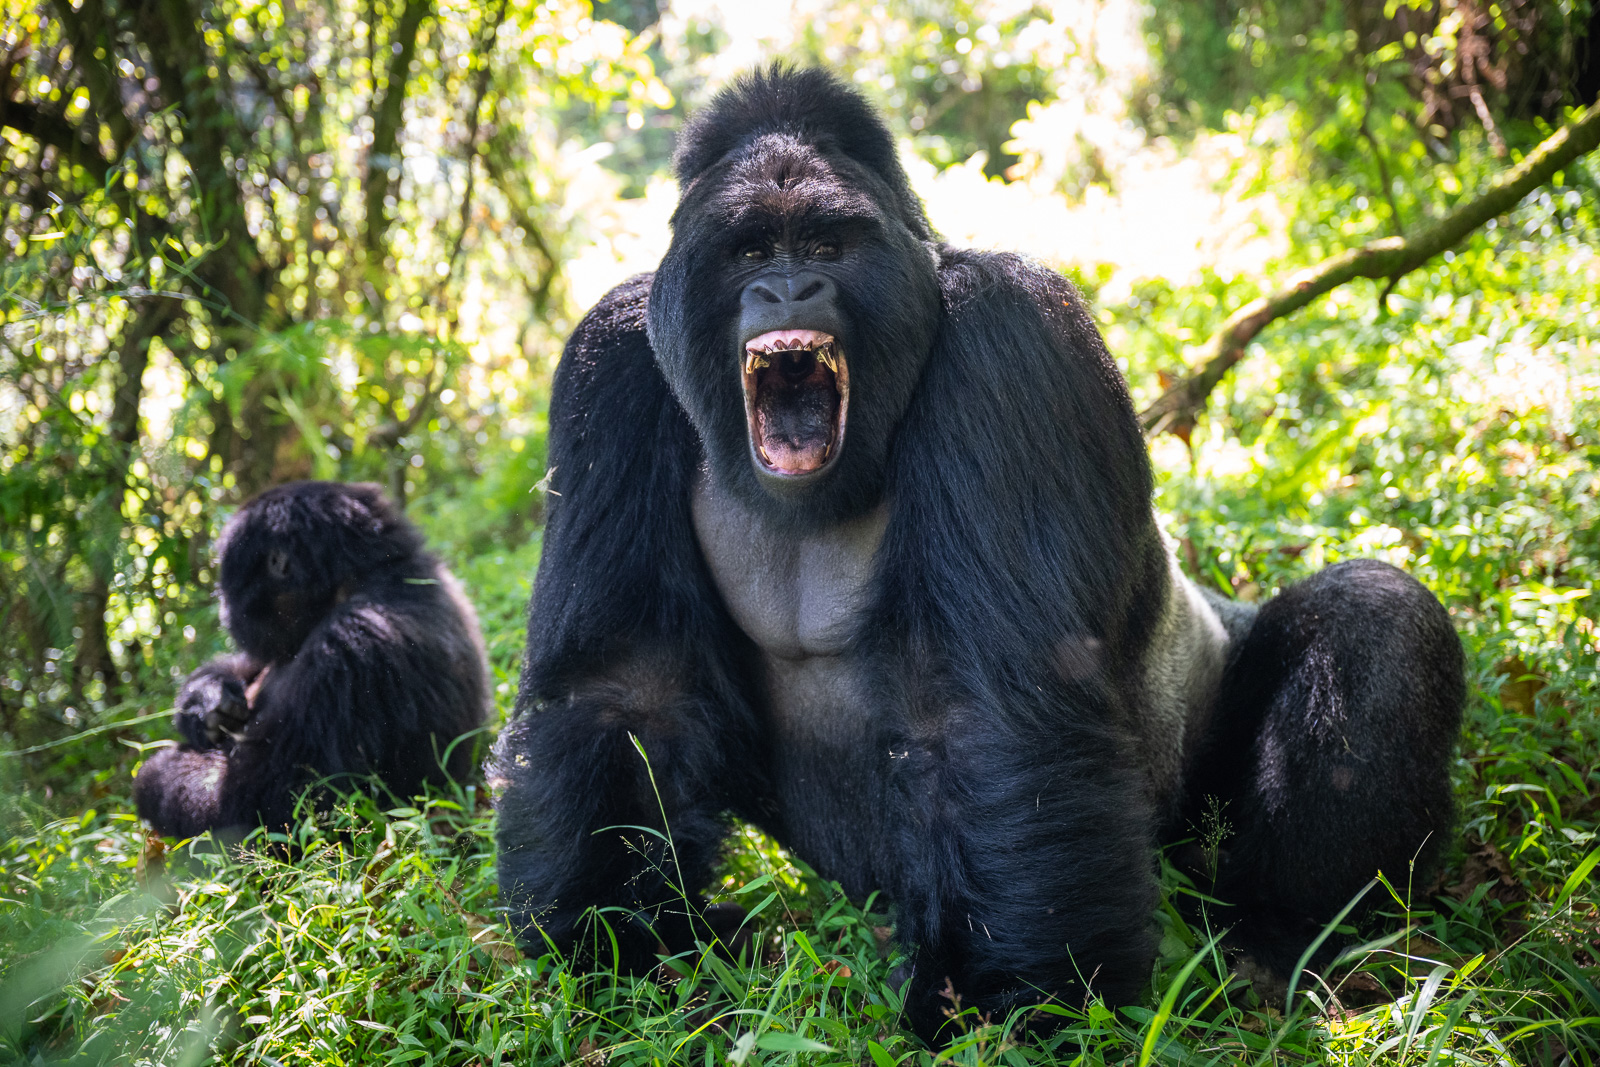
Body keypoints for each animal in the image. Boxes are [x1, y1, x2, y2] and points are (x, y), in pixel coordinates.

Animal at [135, 479, 489, 838]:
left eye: (227, 590)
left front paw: (153, 776)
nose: (224, 613)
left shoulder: (349, 642)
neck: (379, 575)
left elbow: (272, 806)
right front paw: (206, 698)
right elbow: (253, 663)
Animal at [492, 68, 1465, 1043]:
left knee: (1374, 616)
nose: (790, 289)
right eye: (749, 251)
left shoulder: (1014, 329)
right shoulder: (611, 355)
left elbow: (1000, 705)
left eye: (828, 244)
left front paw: (1013, 1001)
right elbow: (624, 687)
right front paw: (624, 940)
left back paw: (1285, 932)